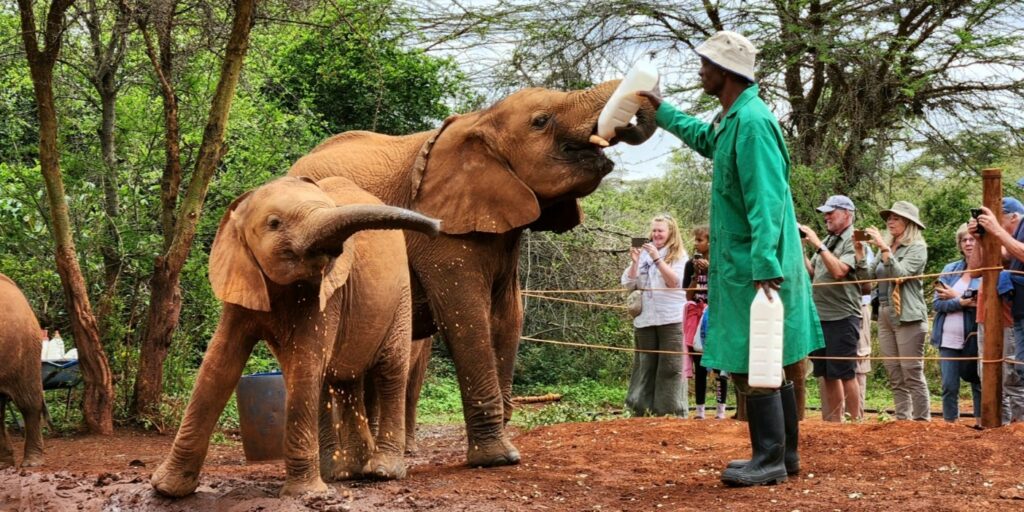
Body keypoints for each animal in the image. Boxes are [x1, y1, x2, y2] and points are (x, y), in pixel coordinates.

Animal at [149, 176, 438, 495]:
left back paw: (381, 471)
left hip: (400, 297)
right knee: (341, 379)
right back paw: (342, 472)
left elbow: (305, 363)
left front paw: (304, 493)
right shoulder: (244, 278)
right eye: (274, 223)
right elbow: (219, 364)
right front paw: (166, 489)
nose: (437, 226)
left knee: (389, 371)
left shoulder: (326, 294)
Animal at [288, 78, 659, 464]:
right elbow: (467, 316)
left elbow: (508, 316)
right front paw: (499, 458)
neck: (481, 121)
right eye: (540, 121)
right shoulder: (442, 233)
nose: (633, 108)